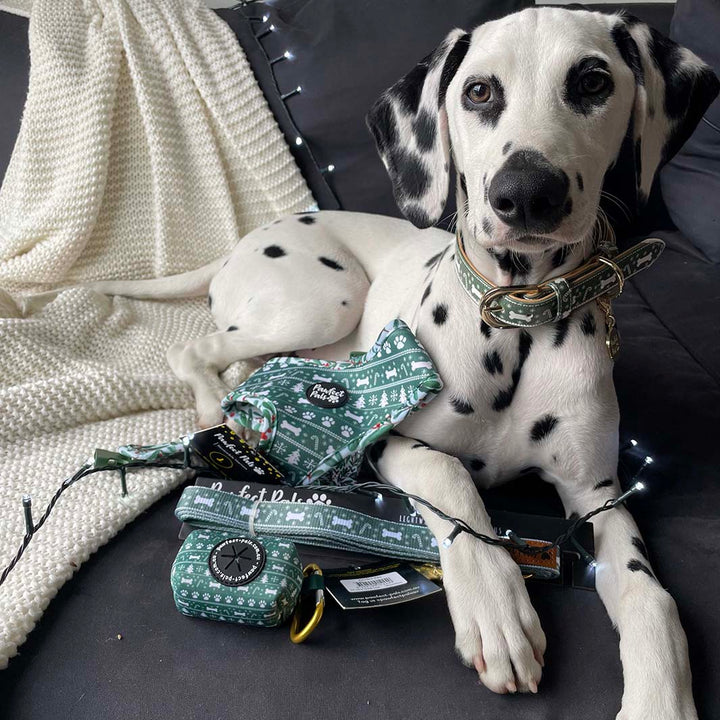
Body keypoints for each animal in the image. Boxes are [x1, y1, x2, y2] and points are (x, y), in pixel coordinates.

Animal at [91, 8, 720, 716]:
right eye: (479, 91)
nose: (527, 193)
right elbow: (454, 482)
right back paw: (216, 411)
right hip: (325, 299)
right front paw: (497, 609)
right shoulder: (390, 444)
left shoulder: (599, 495)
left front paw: (660, 698)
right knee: (193, 348)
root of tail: (245, 238)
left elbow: (651, 595)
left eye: (592, 81)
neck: (518, 322)